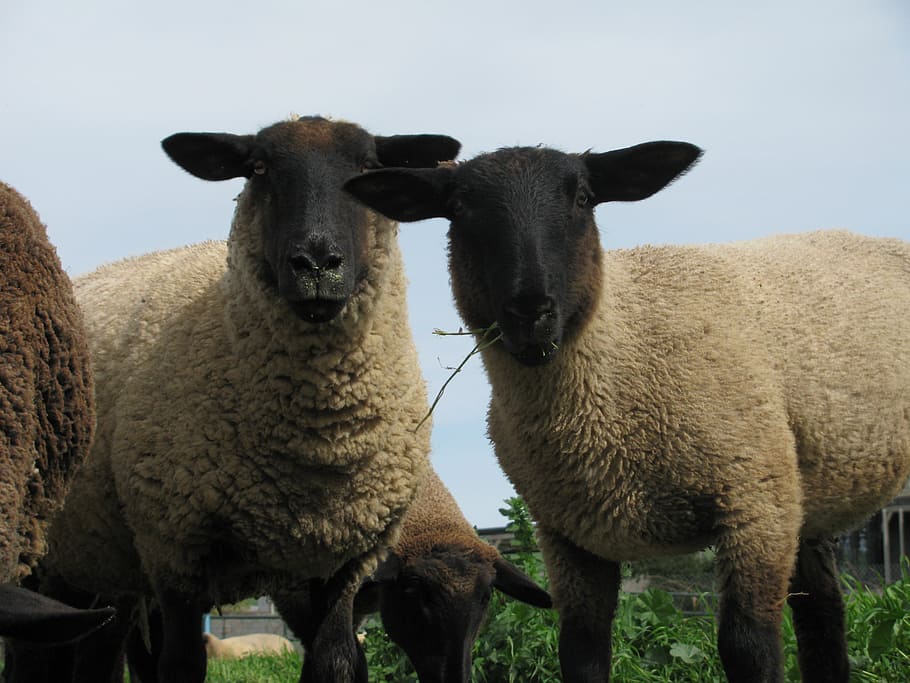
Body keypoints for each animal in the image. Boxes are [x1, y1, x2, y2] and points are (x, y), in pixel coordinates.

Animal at [21, 116, 460, 683]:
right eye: (258, 168)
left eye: (368, 168)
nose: (316, 263)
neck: (319, 443)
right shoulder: (174, 547)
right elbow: (180, 665)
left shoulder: (343, 563)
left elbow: (338, 662)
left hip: (105, 563)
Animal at [343, 143, 910, 683]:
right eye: (458, 208)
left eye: (582, 198)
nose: (531, 311)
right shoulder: (568, 537)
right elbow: (581, 654)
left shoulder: (755, 506)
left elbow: (749, 649)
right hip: (805, 500)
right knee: (824, 616)